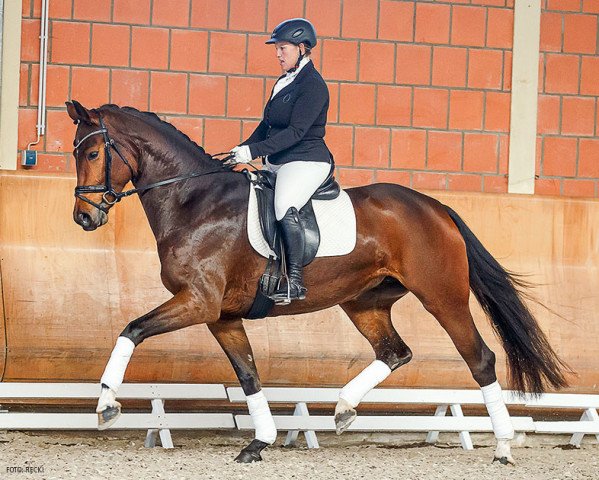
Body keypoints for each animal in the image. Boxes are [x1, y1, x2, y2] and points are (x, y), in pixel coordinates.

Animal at [67, 101, 572, 464]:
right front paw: (260, 441)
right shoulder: (221, 315)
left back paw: (503, 446)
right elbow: (248, 374)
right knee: (394, 352)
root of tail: (435, 207)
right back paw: (345, 409)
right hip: (364, 303)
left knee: (480, 359)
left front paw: (107, 405)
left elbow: (131, 329)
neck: (195, 200)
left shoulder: (198, 302)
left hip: (442, 298)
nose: (84, 218)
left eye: (92, 153)